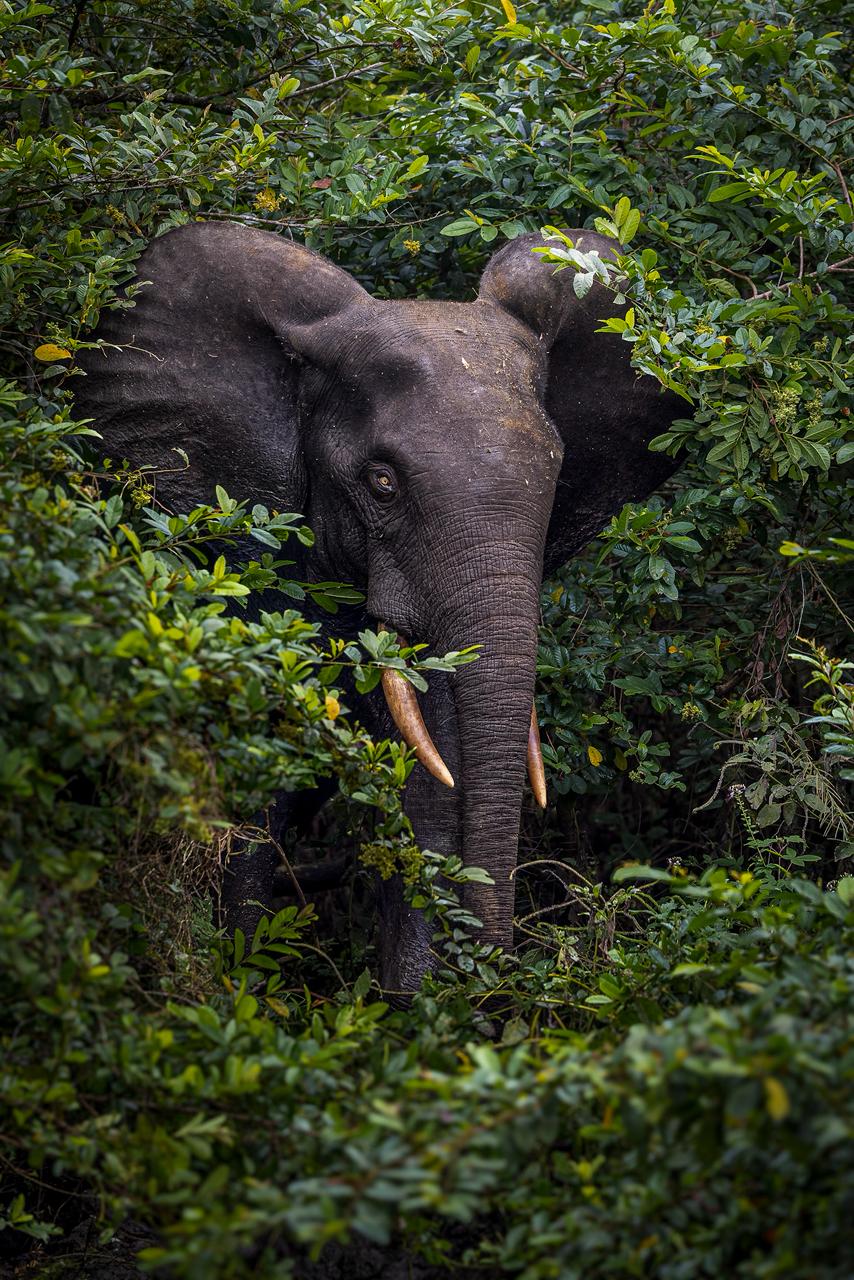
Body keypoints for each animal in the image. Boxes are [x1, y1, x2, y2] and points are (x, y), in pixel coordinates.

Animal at [75, 222, 682, 990]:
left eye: (555, 479)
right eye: (382, 482)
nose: (492, 971)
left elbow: (430, 776)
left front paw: (416, 1008)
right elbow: (258, 772)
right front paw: (240, 984)